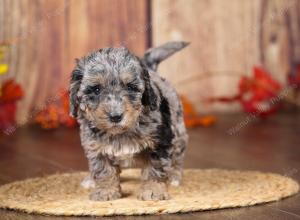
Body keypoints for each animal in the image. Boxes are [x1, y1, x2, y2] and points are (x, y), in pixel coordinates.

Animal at [69, 41, 189, 201]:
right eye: (96, 89)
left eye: (130, 87)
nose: (115, 116)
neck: (122, 132)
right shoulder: (94, 146)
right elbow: (103, 169)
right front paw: (105, 190)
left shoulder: (160, 142)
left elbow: (156, 167)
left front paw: (153, 190)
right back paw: (90, 180)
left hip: (179, 132)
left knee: (177, 157)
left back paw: (174, 176)